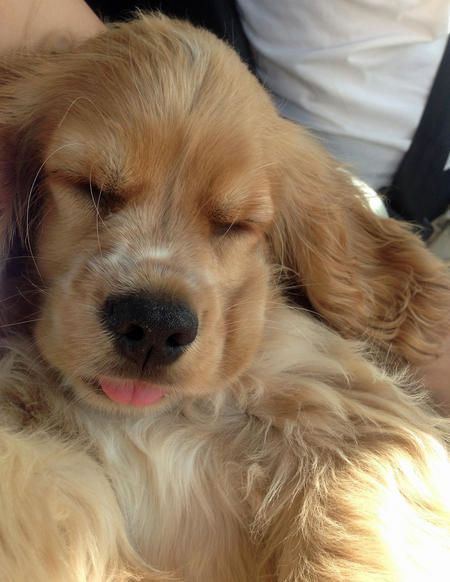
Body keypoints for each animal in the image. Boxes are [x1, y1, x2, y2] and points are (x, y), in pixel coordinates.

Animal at [0, 13, 450, 582]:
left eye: (234, 224)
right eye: (91, 188)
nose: (153, 324)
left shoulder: (347, 412)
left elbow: (349, 523)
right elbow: (41, 488)